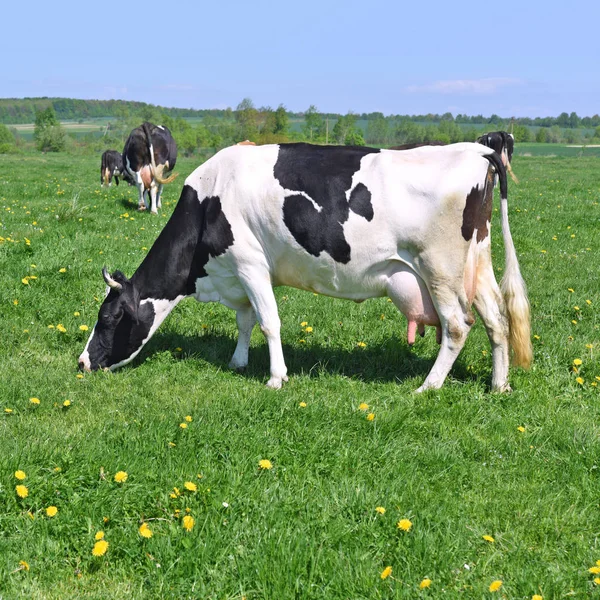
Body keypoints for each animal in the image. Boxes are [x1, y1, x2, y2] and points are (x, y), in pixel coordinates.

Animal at [77, 142, 532, 394]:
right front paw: (238, 362)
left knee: (457, 325)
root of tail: (476, 149)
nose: (81, 363)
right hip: (477, 263)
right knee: (496, 319)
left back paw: (428, 386)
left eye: (108, 318)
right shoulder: (237, 273)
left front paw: (276, 378)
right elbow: (245, 321)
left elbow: (268, 322)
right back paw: (499, 385)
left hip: (440, 268)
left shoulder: (251, 263)